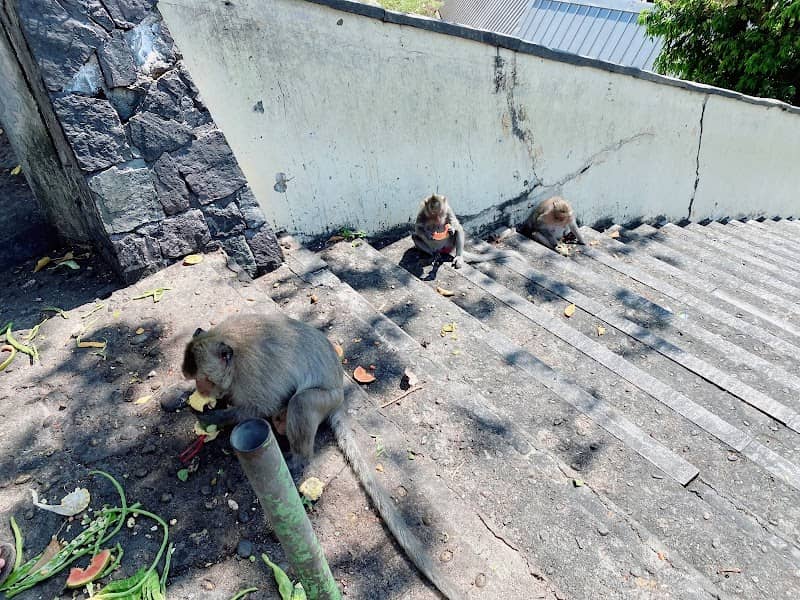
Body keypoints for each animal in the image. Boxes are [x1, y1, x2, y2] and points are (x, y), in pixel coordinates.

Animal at [182, 314, 460, 600]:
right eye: (195, 379)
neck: (228, 343)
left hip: (325, 400)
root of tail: (340, 396)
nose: (201, 391)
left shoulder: (251, 375)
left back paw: (298, 458)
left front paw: (214, 417)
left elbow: (259, 407)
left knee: (301, 403)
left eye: (203, 380)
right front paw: (214, 406)